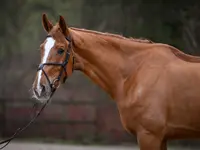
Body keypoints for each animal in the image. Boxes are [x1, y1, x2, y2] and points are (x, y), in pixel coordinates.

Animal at [32, 14, 200, 150]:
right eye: (41, 48)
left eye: (60, 49)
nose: (39, 88)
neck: (136, 72)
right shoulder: (160, 138)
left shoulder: (150, 136)